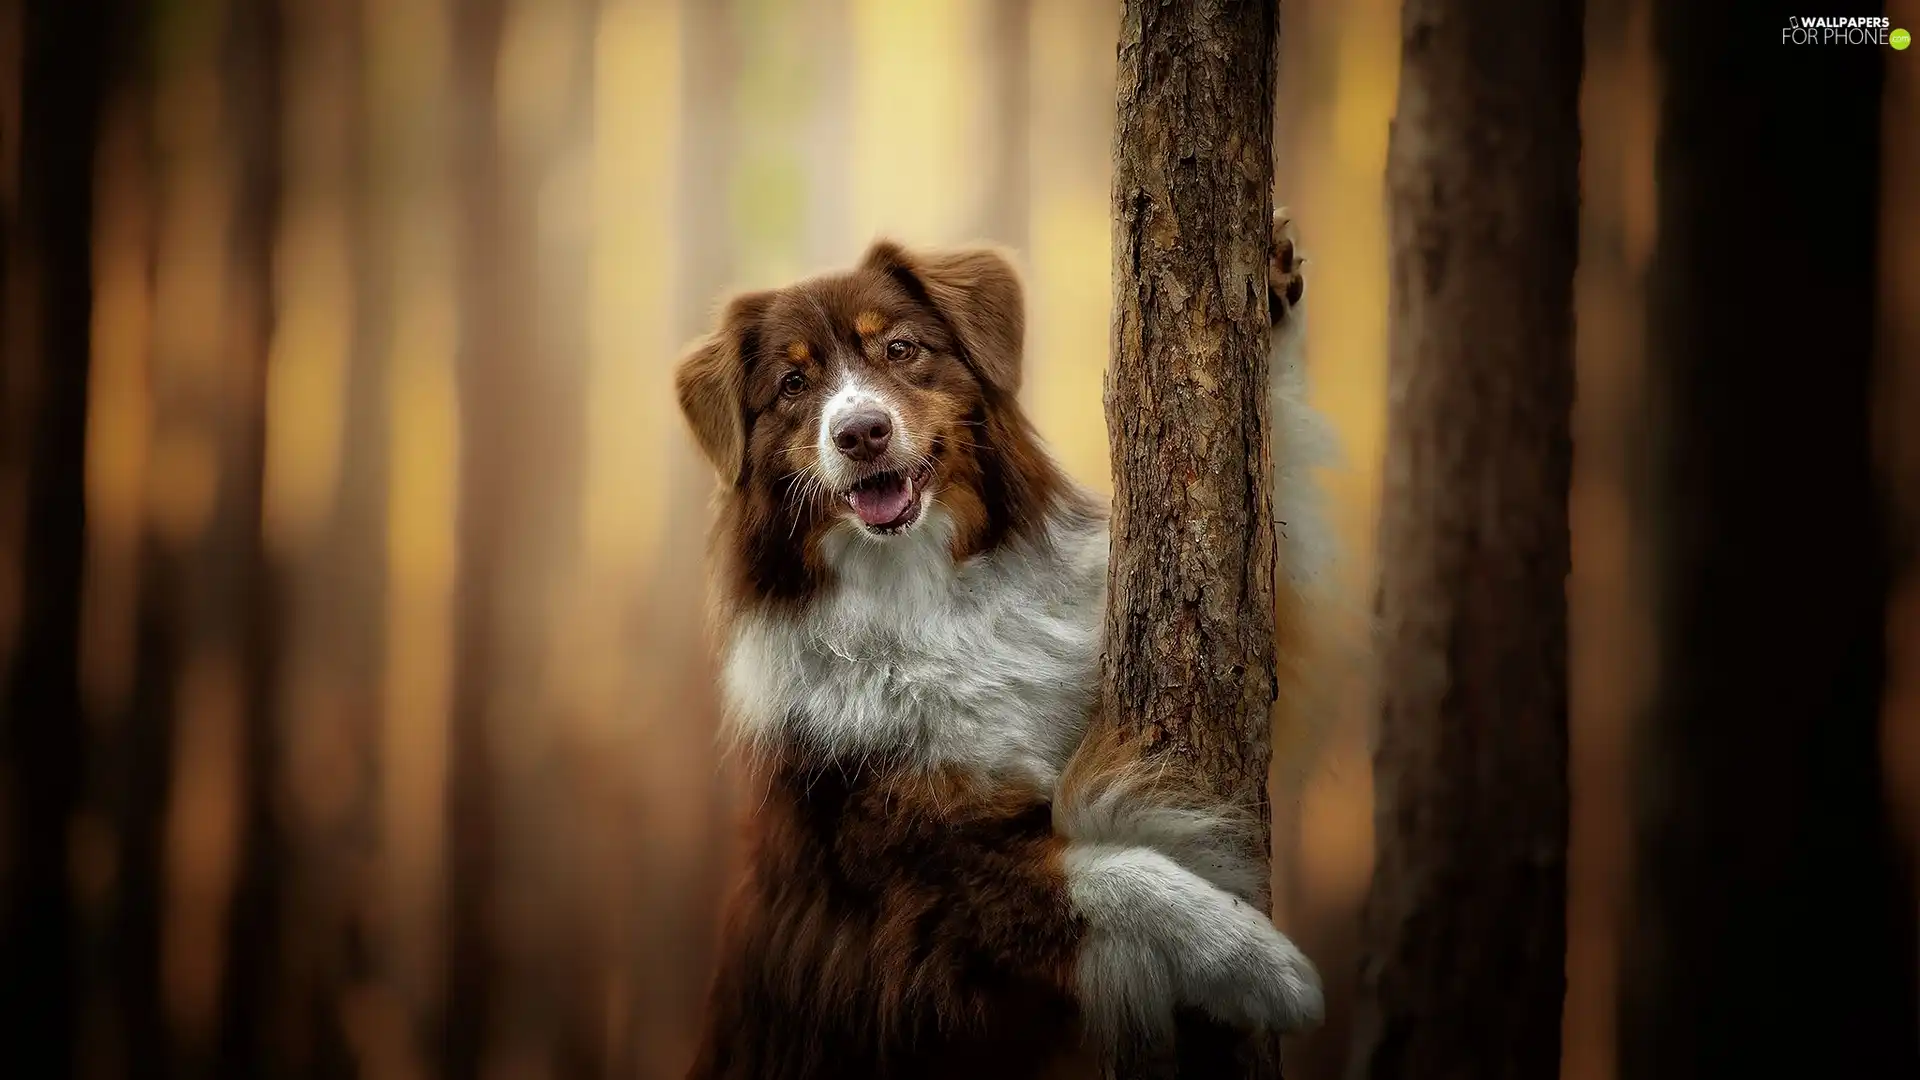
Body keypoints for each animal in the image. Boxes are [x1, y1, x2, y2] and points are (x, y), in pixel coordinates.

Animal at [675, 212, 1336, 1076]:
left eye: (901, 349)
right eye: (793, 385)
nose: (861, 432)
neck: (924, 595)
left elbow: (1269, 525)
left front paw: (1276, 289)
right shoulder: (926, 894)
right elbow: (1110, 872)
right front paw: (1261, 962)